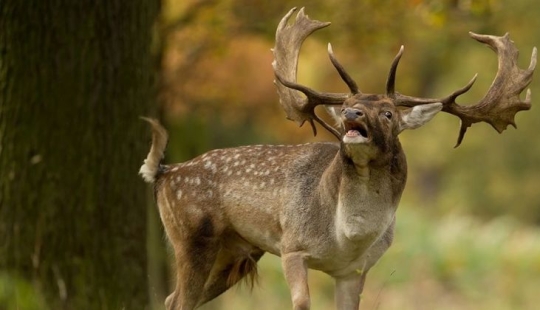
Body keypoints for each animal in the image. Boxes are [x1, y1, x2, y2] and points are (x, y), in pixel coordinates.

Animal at [139, 7, 536, 310]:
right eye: (347, 103)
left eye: (389, 113)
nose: (352, 114)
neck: (347, 234)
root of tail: (163, 172)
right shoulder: (292, 246)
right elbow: (301, 303)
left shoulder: (355, 270)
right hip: (191, 236)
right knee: (178, 300)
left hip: (235, 253)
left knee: (174, 299)